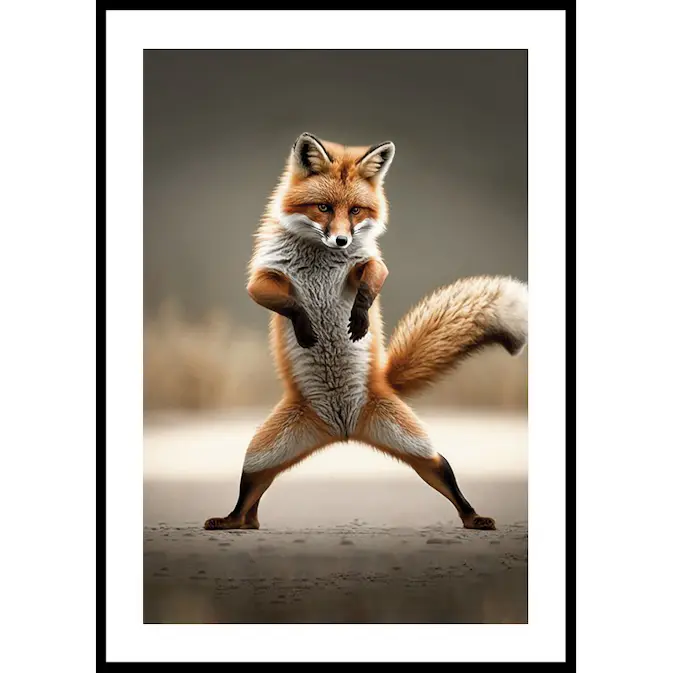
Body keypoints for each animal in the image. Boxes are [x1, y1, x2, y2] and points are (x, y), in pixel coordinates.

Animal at [204, 132, 528, 532]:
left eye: (356, 211)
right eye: (323, 207)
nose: (341, 241)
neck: (319, 260)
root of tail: (343, 431)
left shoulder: (369, 263)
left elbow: (373, 279)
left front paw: (359, 317)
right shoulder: (264, 276)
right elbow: (288, 303)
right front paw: (307, 325)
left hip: (415, 447)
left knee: (444, 471)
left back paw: (473, 517)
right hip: (261, 455)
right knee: (252, 492)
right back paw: (236, 521)